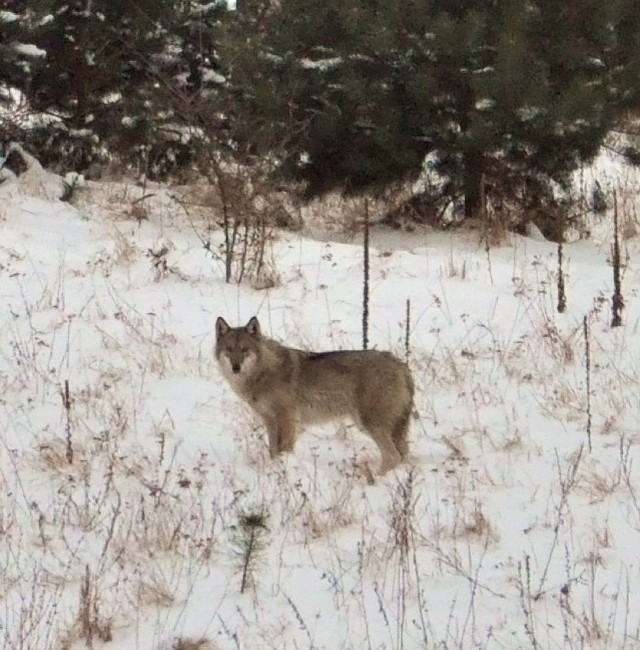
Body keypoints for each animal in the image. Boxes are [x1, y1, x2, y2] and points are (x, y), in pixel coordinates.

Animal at [215, 318, 416, 474]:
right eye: (229, 349)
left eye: (244, 350)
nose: (236, 367)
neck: (262, 372)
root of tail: (401, 365)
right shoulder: (270, 421)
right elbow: (273, 450)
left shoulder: (288, 419)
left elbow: (284, 449)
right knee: (402, 454)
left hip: (370, 424)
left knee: (393, 456)